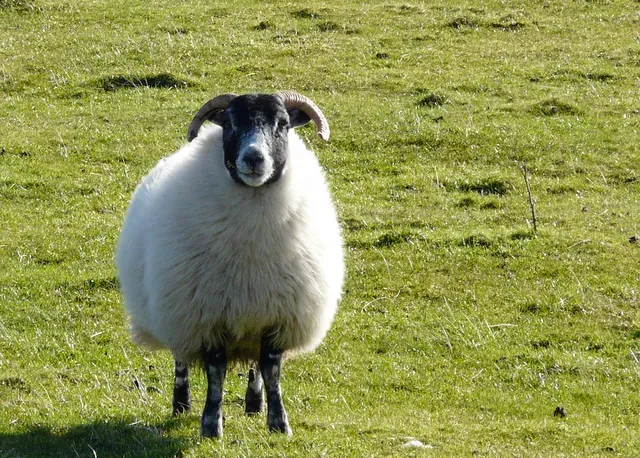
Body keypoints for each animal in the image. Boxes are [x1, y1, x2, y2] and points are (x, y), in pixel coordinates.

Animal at [115, 91, 344, 438]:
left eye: (283, 124)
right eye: (230, 124)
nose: (253, 159)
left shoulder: (276, 317)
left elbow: (271, 371)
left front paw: (278, 422)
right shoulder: (208, 319)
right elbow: (216, 374)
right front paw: (211, 425)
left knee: (255, 368)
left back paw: (253, 403)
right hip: (176, 311)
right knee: (181, 359)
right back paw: (181, 404)